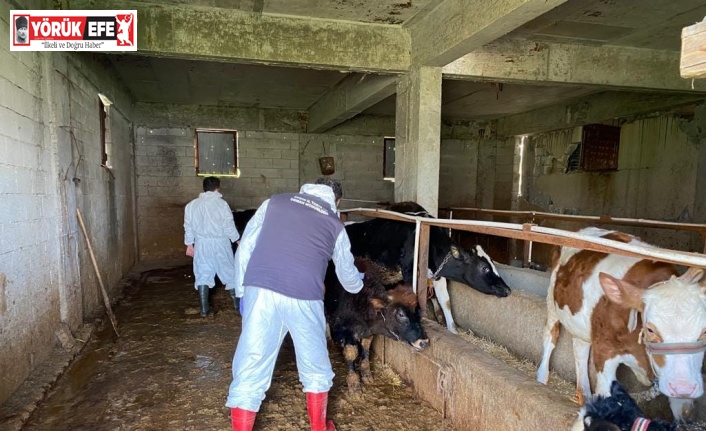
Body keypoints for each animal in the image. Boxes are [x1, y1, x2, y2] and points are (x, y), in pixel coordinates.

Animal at [322, 256, 426, 394]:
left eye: (417, 311)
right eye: (401, 314)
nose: (424, 342)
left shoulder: (368, 333)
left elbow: (366, 348)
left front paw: (366, 375)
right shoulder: (346, 331)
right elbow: (351, 352)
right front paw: (354, 384)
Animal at [344, 202, 508, 334]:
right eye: (484, 268)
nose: (507, 289)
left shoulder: (438, 275)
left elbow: (445, 301)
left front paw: (452, 330)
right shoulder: (408, 272)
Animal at [532, 228, 704, 420]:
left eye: (704, 332)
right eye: (650, 329)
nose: (684, 388)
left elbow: (682, 411)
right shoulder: (604, 352)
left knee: (580, 349)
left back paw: (584, 395)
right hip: (552, 303)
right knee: (550, 337)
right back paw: (541, 378)